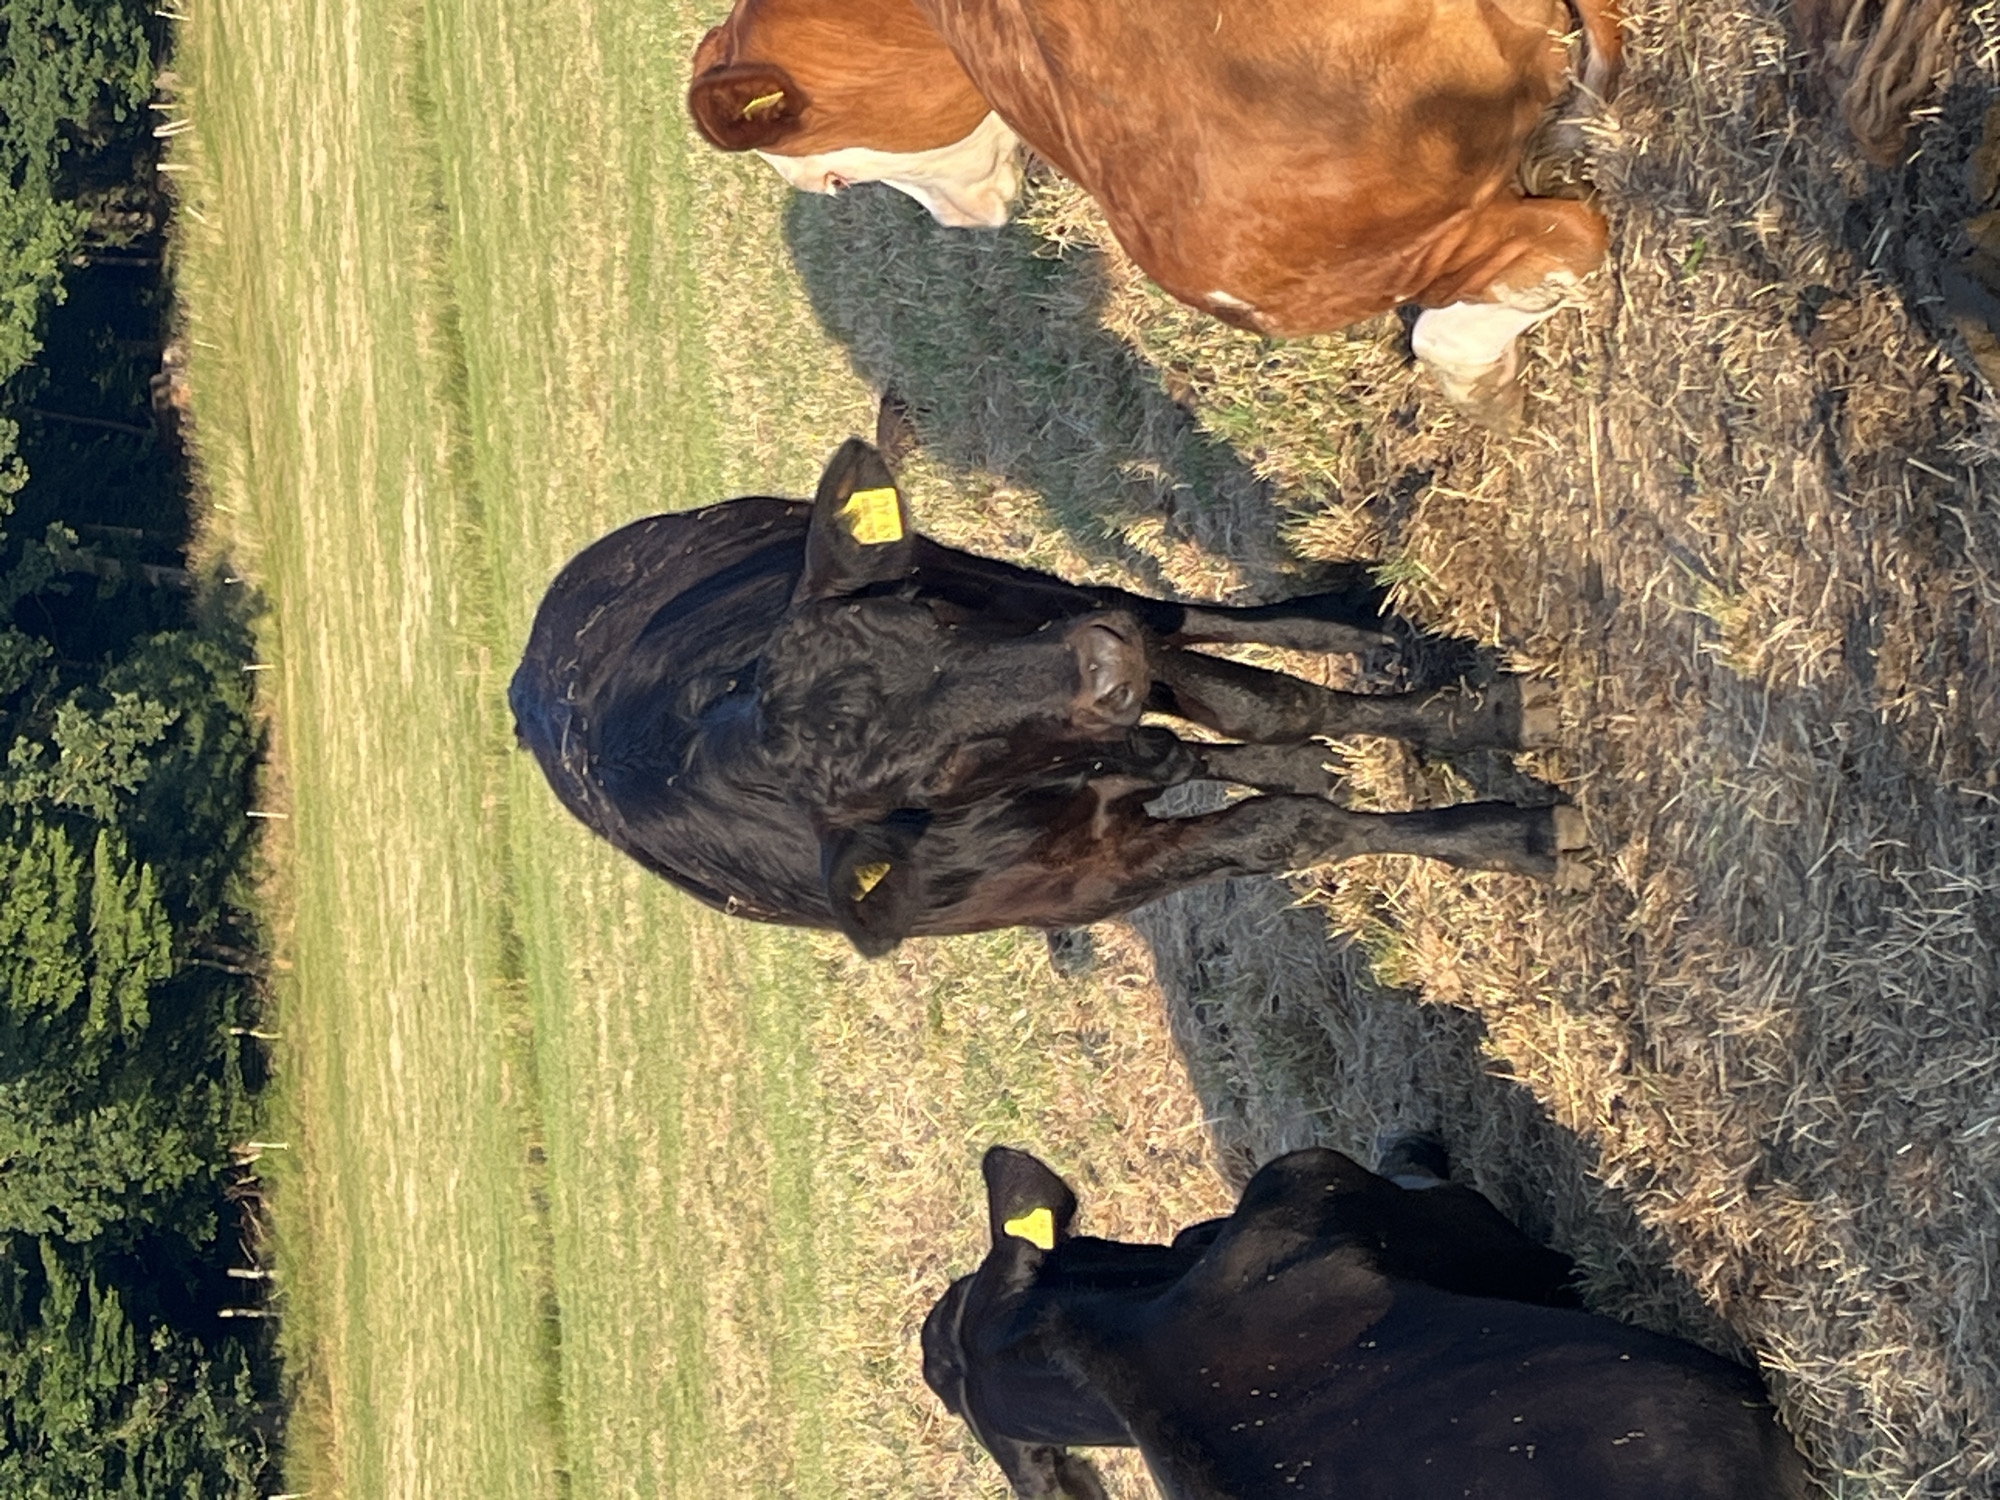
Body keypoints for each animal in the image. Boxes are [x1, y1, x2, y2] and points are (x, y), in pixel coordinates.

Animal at [509, 435, 1584, 956]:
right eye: (929, 776)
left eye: (926, 614)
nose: (1100, 669)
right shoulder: (1097, 876)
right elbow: (1291, 823)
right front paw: (1514, 833)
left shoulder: (1060, 622)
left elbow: (1267, 702)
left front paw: (1486, 720)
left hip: (1057, 588)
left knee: (1184, 622)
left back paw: (1358, 621)